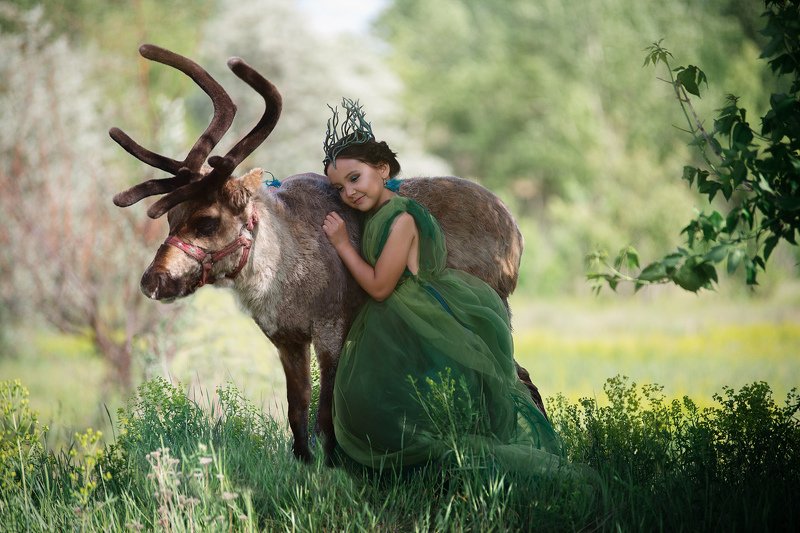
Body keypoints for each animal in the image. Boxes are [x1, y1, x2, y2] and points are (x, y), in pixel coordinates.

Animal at [111, 44, 545, 464]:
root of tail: (515, 229)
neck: (282, 275)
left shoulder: (333, 328)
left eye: (206, 221)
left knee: (514, 379)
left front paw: (335, 465)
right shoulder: (285, 339)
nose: (152, 280)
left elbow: (326, 413)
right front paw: (304, 462)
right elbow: (297, 408)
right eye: (170, 218)